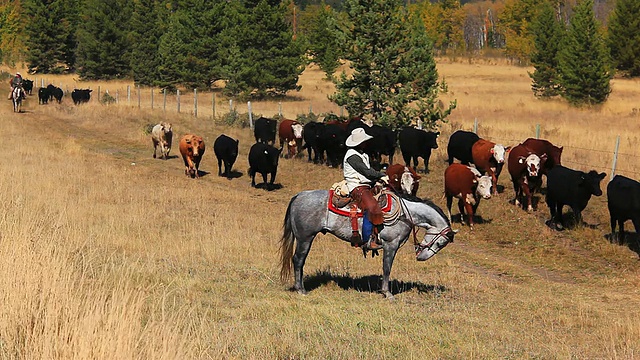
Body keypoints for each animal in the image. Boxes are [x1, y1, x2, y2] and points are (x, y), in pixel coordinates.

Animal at [280, 190, 456, 300]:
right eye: (441, 242)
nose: (421, 258)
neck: (405, 214)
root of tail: (299, 196)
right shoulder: (390, 245)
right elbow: (387, 268)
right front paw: (387, 293)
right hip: (305, 238)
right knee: (298, 260)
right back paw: (301, 290)